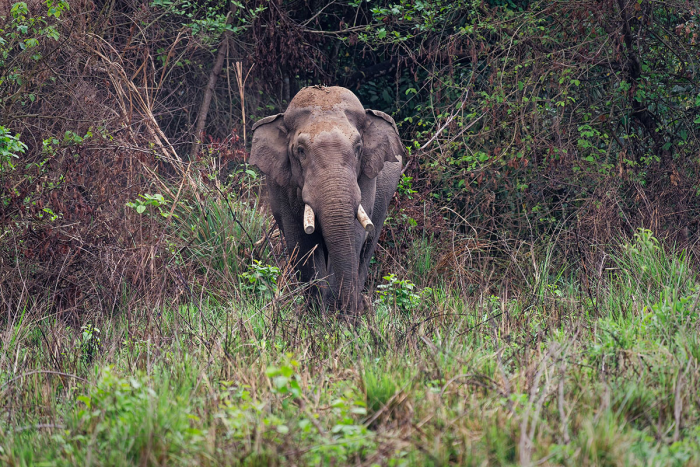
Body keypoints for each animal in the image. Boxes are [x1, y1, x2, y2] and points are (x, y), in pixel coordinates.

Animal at [249, 85, 405, 317]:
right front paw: (317, 313)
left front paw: (338, 312)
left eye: (358, 148)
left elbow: (354, 234)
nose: (359, 309)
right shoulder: (282, 184)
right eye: (300, 151)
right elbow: (301, 240)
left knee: (368, 245)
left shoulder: (366, 177)